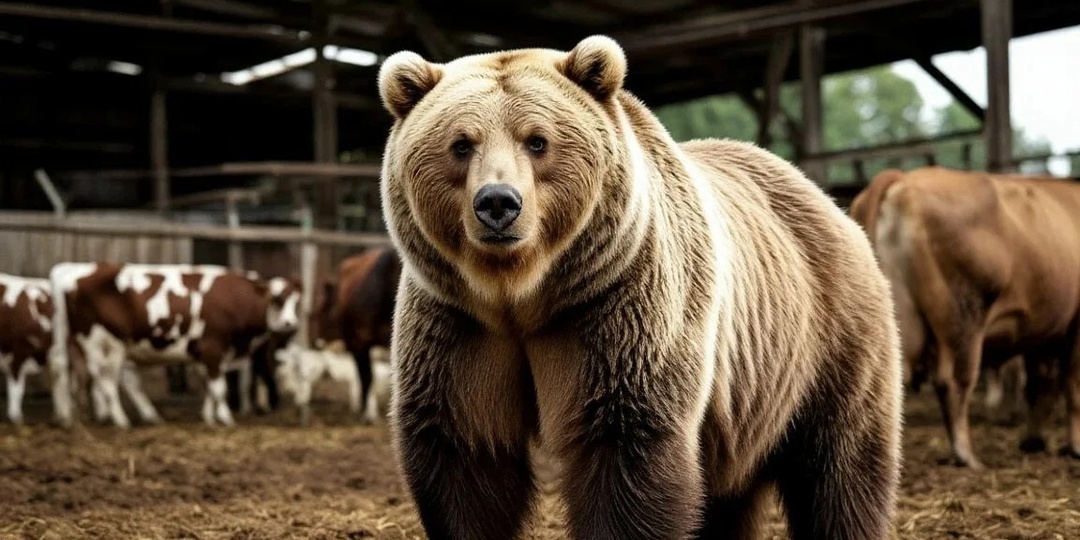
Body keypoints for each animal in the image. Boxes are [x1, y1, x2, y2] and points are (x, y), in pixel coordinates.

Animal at [376, 35, 903, 540]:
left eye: (537, 140)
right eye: (462, 144)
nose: (498, 203)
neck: (521, 293)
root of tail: (824, 196)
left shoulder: (618, 302)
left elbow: (626, 446)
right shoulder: (458, 323)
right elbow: (464, 450)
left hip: (829, 336)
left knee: (840, 465)